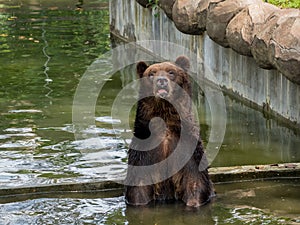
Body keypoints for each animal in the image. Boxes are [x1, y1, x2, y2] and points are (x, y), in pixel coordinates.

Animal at [124, 55, 213, 207]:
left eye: (171, 72)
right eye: (151, 73)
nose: (161, 81)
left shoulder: (188, 151)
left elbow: (195, 181)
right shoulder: (143, 153)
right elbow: (139, 188)